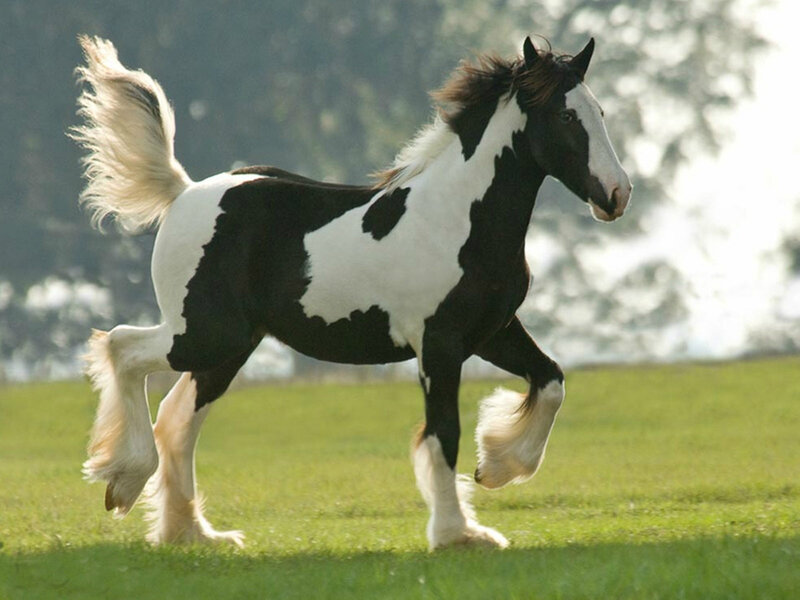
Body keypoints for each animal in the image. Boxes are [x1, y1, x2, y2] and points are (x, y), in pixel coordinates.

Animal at [70, 34, 631, 550]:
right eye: (566, 116)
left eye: (601, 111)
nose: (617, 194)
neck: (457, 218)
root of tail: (183, 192)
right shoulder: (439, 343)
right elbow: (442, 434)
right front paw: (459, 534)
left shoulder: (493, 331)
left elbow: (552, 381)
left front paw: (495, 467)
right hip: (204, 334)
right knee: (122, 348)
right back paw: (123, 482)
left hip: (228, 347)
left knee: (177, 422)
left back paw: (193, 534)